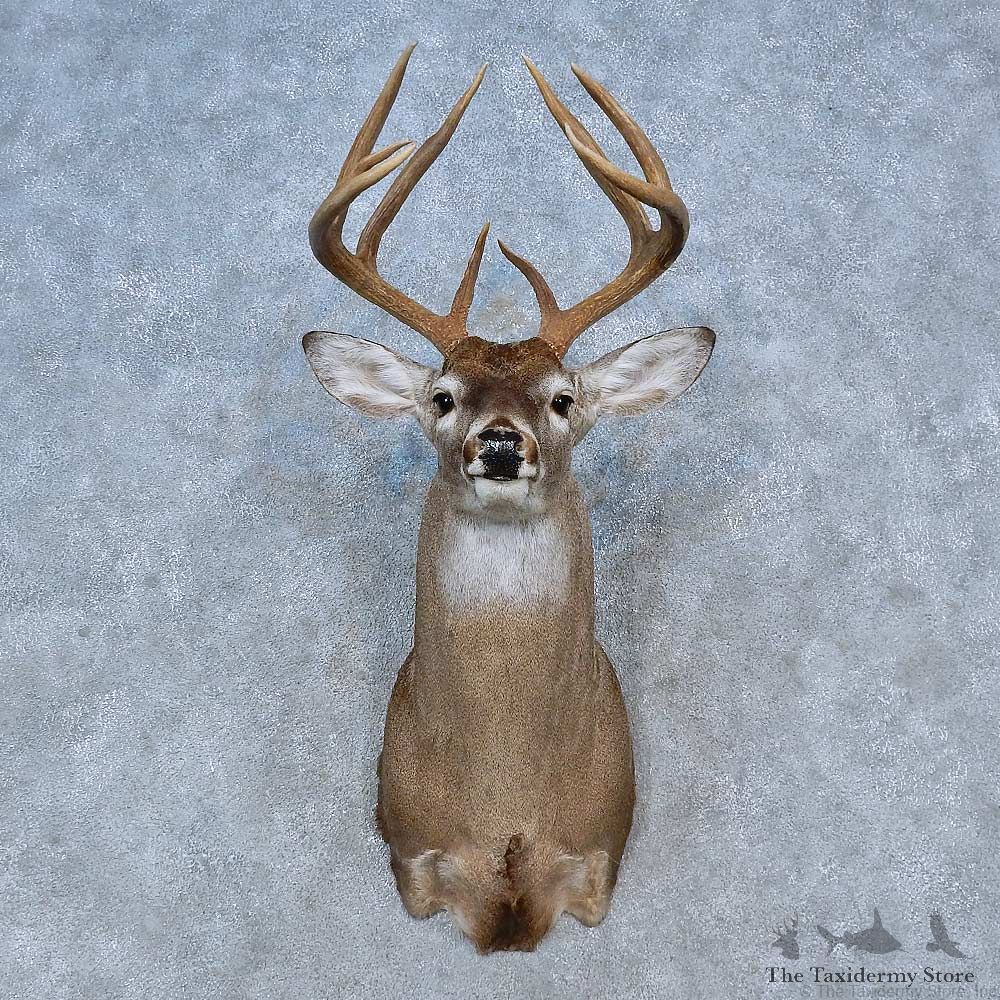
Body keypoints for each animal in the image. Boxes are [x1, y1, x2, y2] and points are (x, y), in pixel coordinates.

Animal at [302, 44, 715, 953]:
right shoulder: (411, 851)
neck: (504, 795)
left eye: (562, 398)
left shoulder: (599, 854)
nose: (498, 443)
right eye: (443, 397)